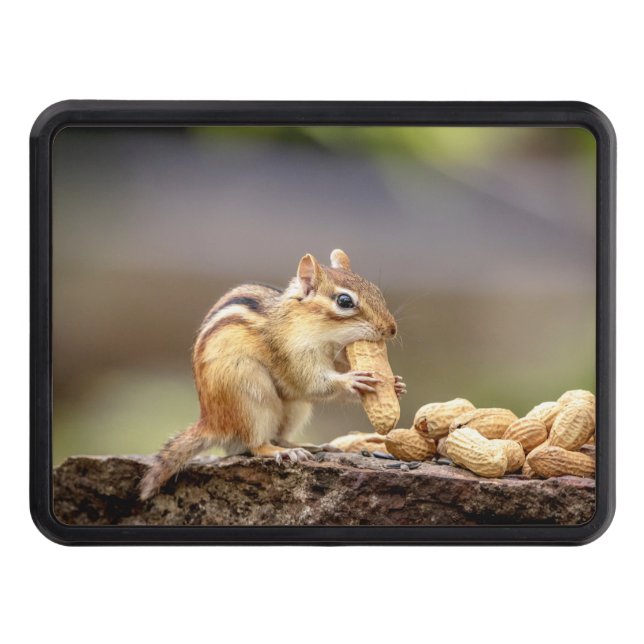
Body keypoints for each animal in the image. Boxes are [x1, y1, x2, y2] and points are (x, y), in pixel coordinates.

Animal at [139, 248, 406, 501]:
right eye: (344, 301)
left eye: (376, 291)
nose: (392, 329)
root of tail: (211, 422)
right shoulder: (292, 353)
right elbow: (312, 383)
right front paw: (352, 380)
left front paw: (396, 384)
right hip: (249, 396)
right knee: (256, 445)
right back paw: (282, 452)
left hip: (295, 407)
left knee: (279, 435)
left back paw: (304, 446)